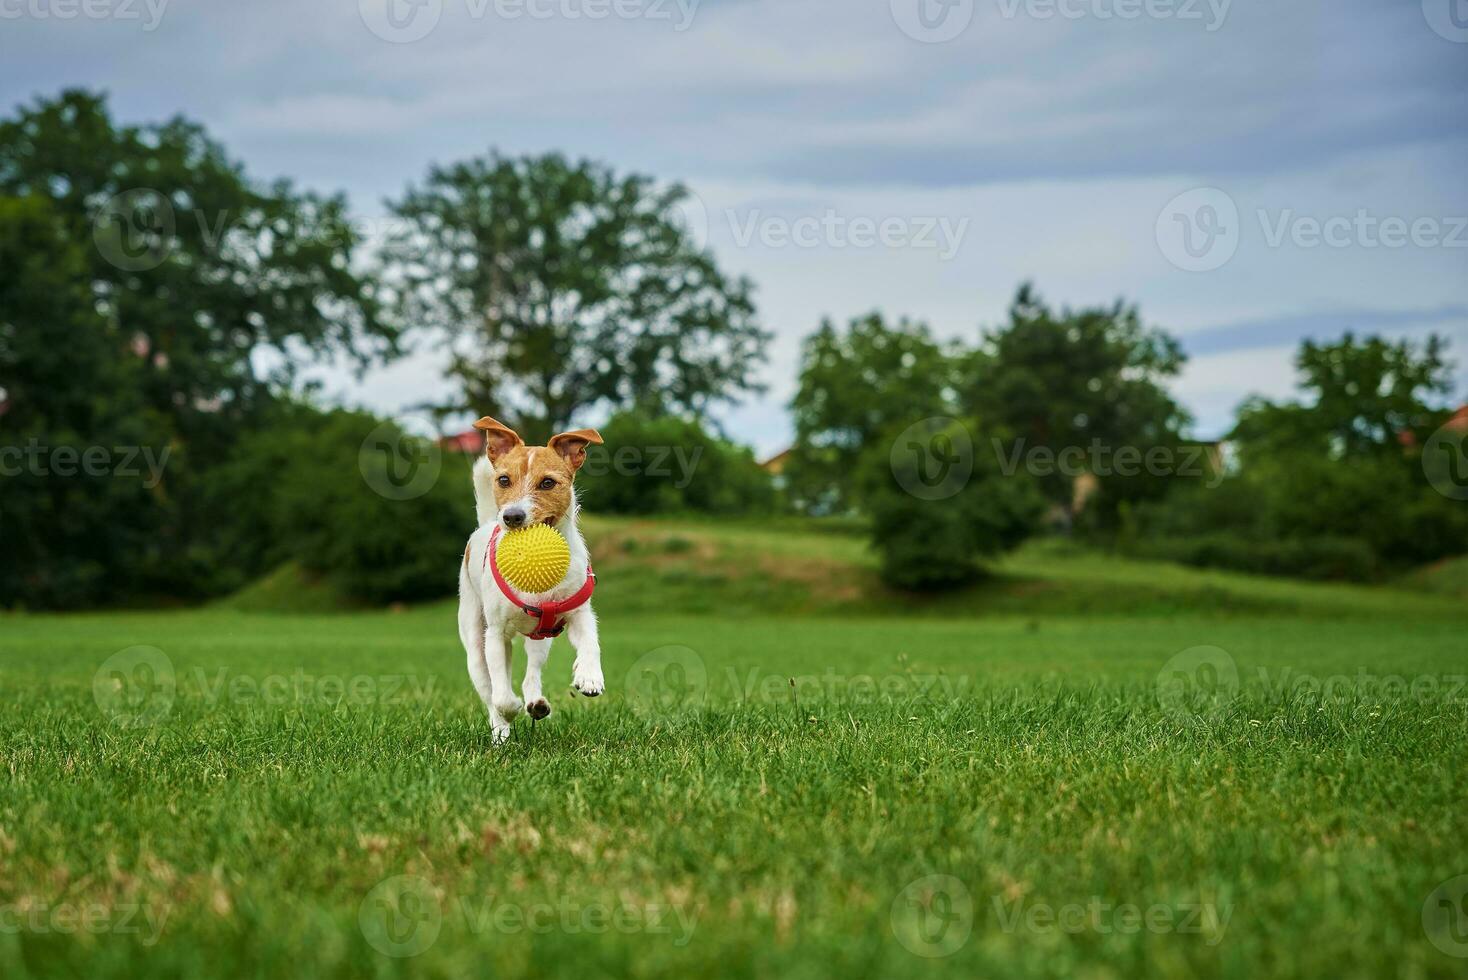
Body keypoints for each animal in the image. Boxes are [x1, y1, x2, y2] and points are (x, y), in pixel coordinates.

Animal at [452, 416, 601, 742]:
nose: (511, 516)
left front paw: (589, 675)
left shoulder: (579, 612)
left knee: (532, 671)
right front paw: (509, 713)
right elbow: (501, 697)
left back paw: (536, 703)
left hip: (541, 639)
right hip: (475, 644)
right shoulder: (495, 635)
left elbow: (590, 641)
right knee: (490, 692)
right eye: (503, 480)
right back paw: (501, 734)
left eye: (547, 483)